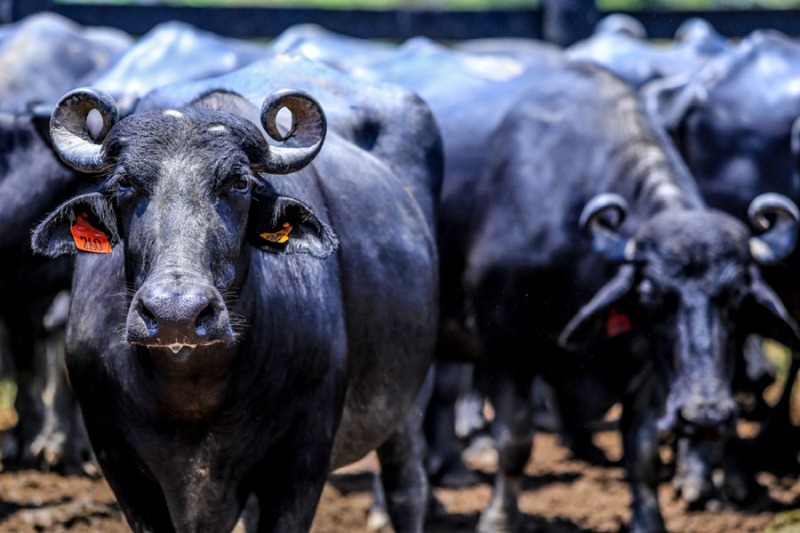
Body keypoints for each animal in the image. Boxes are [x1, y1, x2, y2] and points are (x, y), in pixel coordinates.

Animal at [31, 54, 440, 528]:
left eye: (239, 183)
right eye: (124, 183)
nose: (176, 315)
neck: (192, 388)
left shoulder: (303, 460)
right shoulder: (117, 459)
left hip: (410, 402)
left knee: (406, 484)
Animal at [356, 42, 800, 532]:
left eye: (736, 296)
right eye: (653, 295)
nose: (705, 413)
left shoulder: (646, 360)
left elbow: (641, 449)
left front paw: (649, 520)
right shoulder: (506, 346)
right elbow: (516, 440)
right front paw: (500, 517)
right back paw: (385, 509)